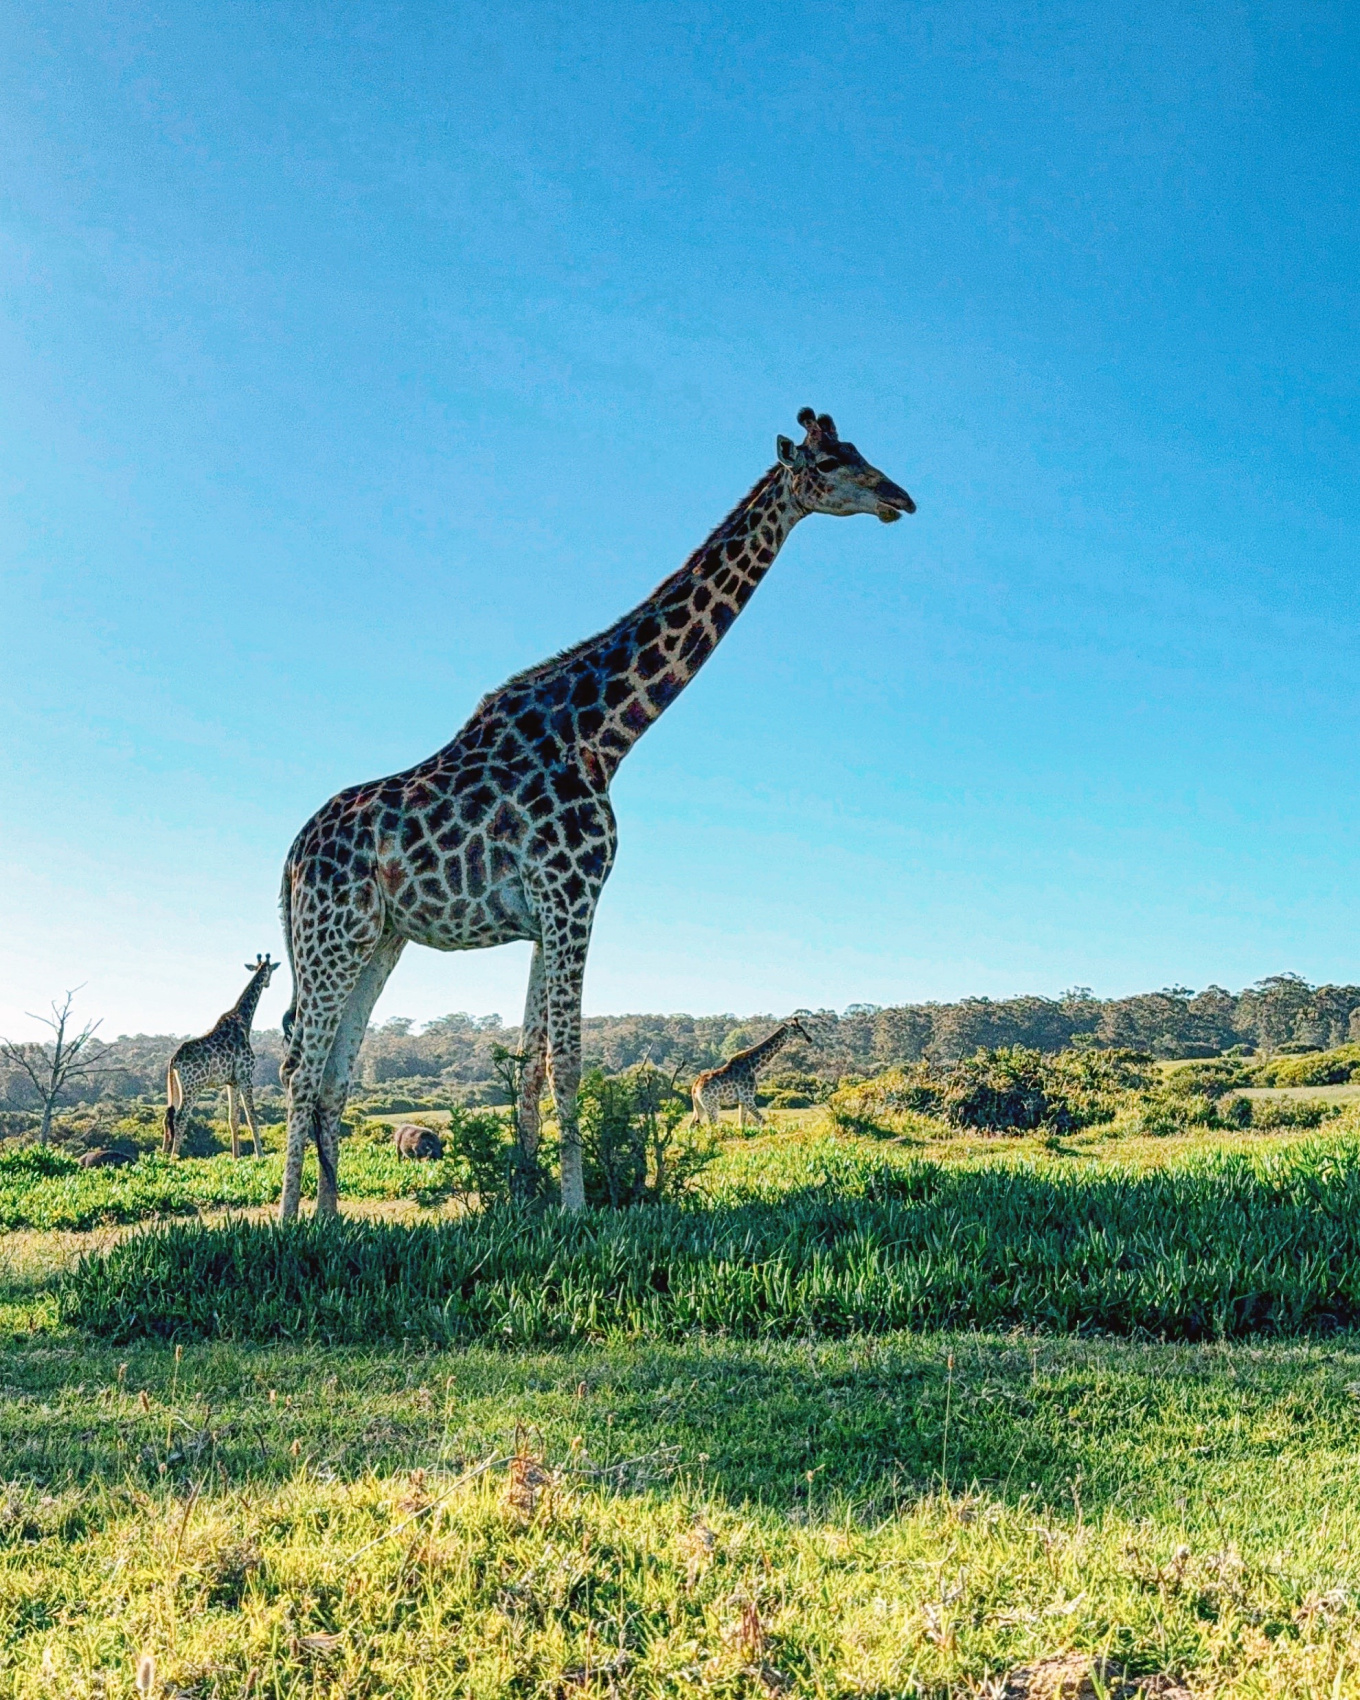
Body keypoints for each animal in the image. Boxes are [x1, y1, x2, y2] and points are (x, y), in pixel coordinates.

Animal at [163, 952, 277, 1162]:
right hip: (193, 1087)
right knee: (181, 1116)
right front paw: (260, 1154)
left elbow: (233, 1118)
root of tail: (173, 1062)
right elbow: (252, 1116)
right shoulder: (245, 1076)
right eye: (270, 971)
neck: (244, 1019)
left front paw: (236, 1157)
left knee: (168, 1116)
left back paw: (163, 1155)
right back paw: (175, 1157)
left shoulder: (231, 1081)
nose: (267, 984)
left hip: (174, 1087)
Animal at [275, 411, 911, 1224]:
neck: (603, 737)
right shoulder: (573, 895)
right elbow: (570, 1062)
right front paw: (575, 1210)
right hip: (329, 936)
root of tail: (290, 856)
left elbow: (529, 1065)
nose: (901, 499)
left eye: (860, 451)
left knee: (334, 1071)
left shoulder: (542, 915)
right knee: (299, 1066)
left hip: (377, 940)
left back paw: (331, 1217)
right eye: (830, 463)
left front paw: (525, 1195)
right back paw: (291, 1221)